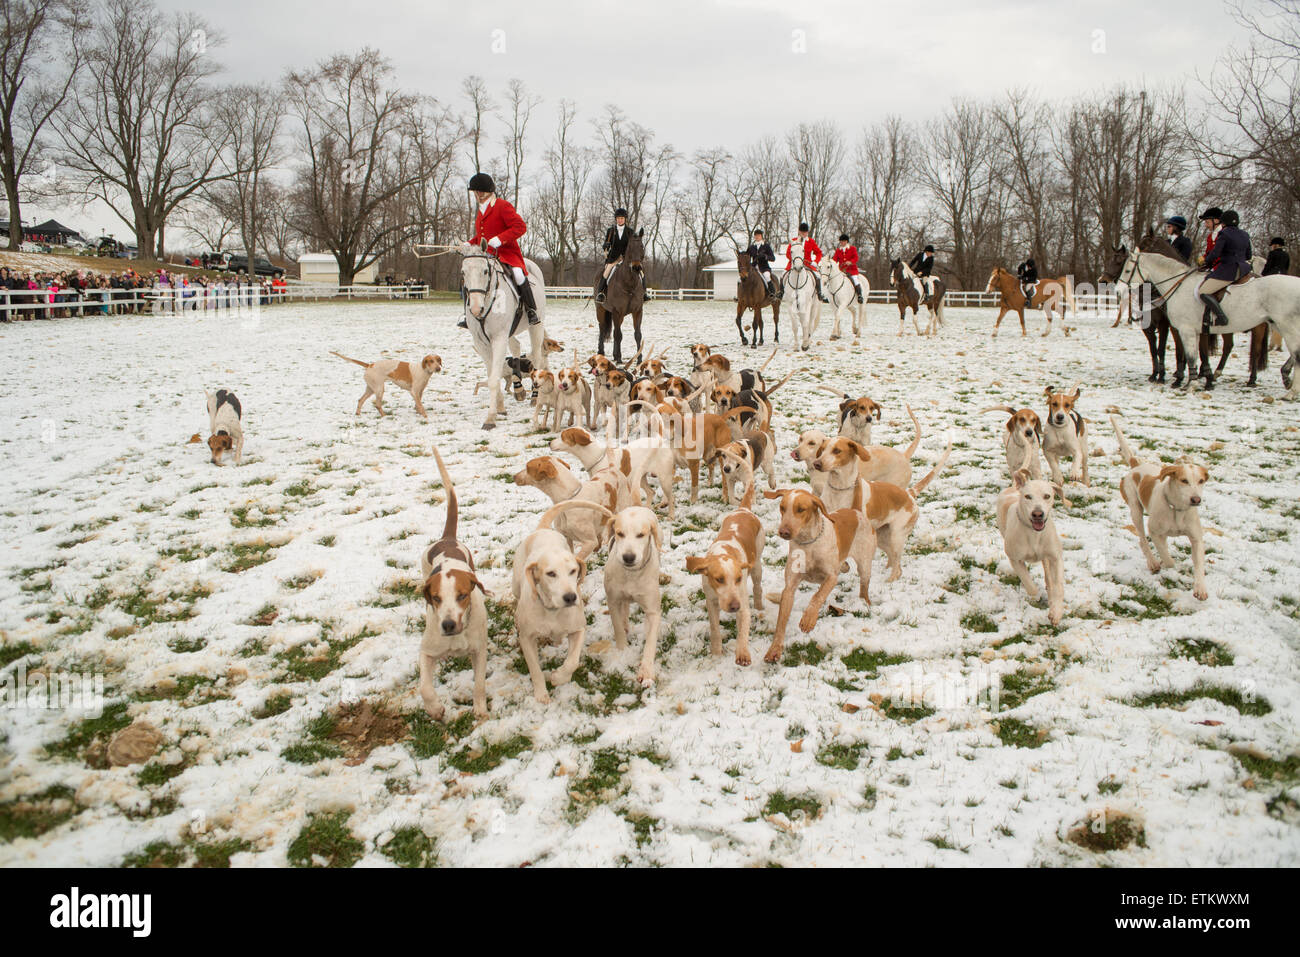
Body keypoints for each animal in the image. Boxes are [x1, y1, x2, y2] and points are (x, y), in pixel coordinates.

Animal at [595, 227, 644, 366]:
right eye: (630, 247)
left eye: (642, 246)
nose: (636, 267)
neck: (629, 284)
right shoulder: (617, 311)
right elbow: (618, 334)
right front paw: (619, 358)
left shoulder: (637, 311)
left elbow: (637, 334)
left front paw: (639, 359)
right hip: (600, 309)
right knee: (602, 328)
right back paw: (601, 352)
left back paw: (614, 355)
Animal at [1118, 247, 1300, 400]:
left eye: (1127, 270)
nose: (1118, 291)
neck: (1178, 286)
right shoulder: (1196, 332)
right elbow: (1197, 355)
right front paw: (1198, 380)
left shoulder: (1186, 330)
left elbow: (1191, 356)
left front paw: (1191, 384)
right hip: (1277, 325)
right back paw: (1286, 378)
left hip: (1286, 327)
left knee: (1296, 354)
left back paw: (1291, 391)